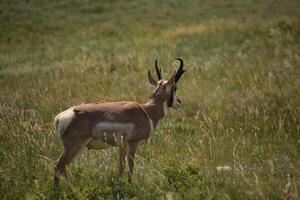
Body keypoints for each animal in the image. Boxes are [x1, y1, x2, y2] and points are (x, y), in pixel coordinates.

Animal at [53, 57, 185, 188]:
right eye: (175, 87)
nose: (179, 102)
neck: (147, 111)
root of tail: (60, 117)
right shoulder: (133, 144)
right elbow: (131, 167)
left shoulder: (122, 146)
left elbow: (121, 167)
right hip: (74, 147)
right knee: (59, 167)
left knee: (62, 168)